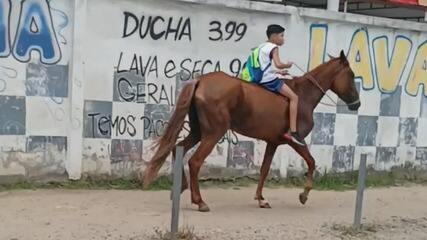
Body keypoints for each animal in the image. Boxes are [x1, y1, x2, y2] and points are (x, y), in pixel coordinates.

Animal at [141, 50, 362, 212]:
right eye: (351, 75)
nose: (357, 104)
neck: (302, 96)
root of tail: (201, 81)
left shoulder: (273, 142)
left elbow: (264, 169)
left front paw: (261, 199)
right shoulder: (294, 141)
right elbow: (311, 162)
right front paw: (303, 195)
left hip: (198, 132)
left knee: (177, 148)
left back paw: (180, 189)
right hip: (213, 134)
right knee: (194, 162)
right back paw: (200, 201)